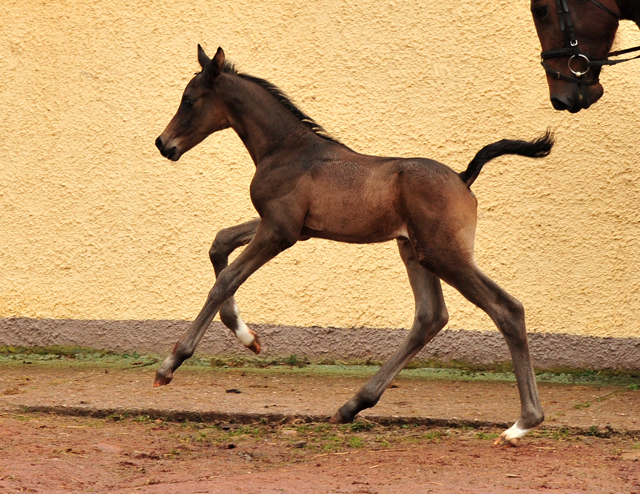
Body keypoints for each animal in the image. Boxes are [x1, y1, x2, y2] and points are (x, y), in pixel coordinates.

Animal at [155, 46, 556, 448]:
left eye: (189, 100)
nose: (163, 144)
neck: (286, 150)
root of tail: (463, 177)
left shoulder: (279, 231)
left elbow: (226, 280)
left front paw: (171, 364)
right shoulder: (290, 228)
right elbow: (219, 243)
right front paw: (248, 338)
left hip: (443, 254)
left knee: (506, 309)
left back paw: (522, 423)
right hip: (414, 250)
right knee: (430, 316)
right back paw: (352, 406)